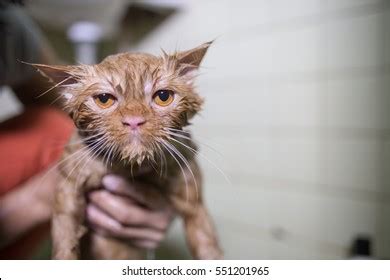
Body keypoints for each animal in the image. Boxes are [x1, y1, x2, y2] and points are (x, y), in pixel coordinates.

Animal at [33, 41, 222, 260]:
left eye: (163, 96)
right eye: (104, 99)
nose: (134, 120)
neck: (129, 166)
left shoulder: (191, 194)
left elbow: (206, 243)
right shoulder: (68, 185)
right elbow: (64, 241)